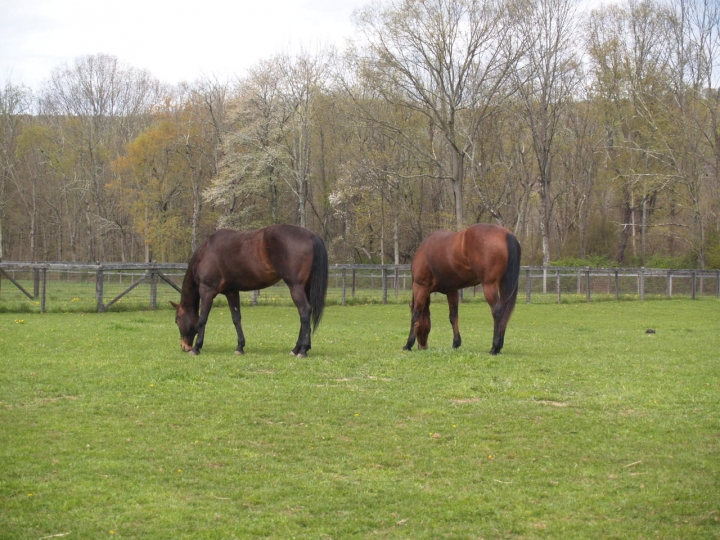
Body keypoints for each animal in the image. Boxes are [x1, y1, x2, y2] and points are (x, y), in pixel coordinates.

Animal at [170, 225, 328, 356]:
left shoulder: (207, 291)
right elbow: (236, 318)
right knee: (306, 313)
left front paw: (197, 347)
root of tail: (312, 236)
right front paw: (240, 347)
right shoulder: (231, 292)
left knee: (304, 311)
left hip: (295, 286)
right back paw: (297, 349)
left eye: (177, 321)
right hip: (305, 287)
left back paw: (302, 350)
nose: (184, 347)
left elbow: (203, 318)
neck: (206, 253)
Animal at [402, 224, 520, 354]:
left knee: (498, 312)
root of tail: (506, 234)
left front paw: (408, 344)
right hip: (503, 285)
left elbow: (416, 315)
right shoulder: (452, 291)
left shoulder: (420, 287)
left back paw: (495, 347)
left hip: (489, 286)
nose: (423, 346)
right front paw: (456, 343)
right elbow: (453, 316)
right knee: (505, 313)